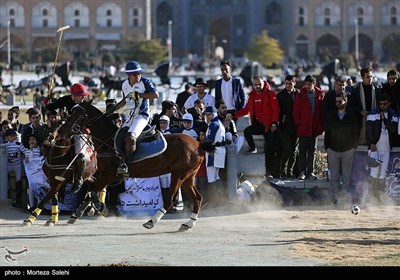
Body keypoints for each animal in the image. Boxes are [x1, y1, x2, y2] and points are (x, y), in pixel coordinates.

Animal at [56, 100, 216, 230]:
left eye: (78, 113)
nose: (60, 132)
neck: (108, 141)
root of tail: (198, 144)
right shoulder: (109, 176)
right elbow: (91, 189)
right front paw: (78, 213)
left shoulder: (110, 175)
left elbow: (93, 189)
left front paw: (98, 208)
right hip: (188, 176)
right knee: (197, 198)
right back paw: (188, 224)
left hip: (178, 175)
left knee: (171, 199)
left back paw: (151, 221)